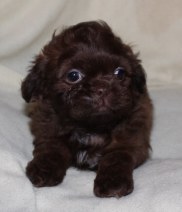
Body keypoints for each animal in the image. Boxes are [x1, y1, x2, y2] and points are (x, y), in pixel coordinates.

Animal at [21, 20, 152, 198]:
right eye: (73, 76)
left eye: (120, 73)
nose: (102, 88)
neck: (90, 128)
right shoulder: (48, 129)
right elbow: (52, 148)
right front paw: (44, 169)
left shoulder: (130, 140)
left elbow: (116, 157)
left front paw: (113, 182)